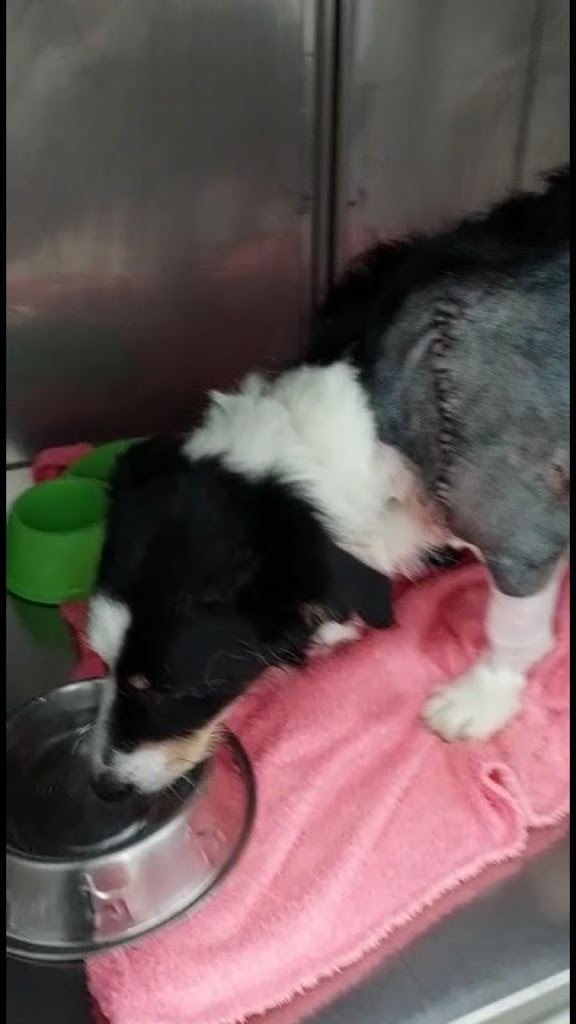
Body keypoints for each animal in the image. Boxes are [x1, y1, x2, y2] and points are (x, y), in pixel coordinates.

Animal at [88, 167, 569, 798]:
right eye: (100, 661)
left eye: (175, 690)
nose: (103, 787)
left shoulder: (516, 522)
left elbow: (513, 625)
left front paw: (479, 700)